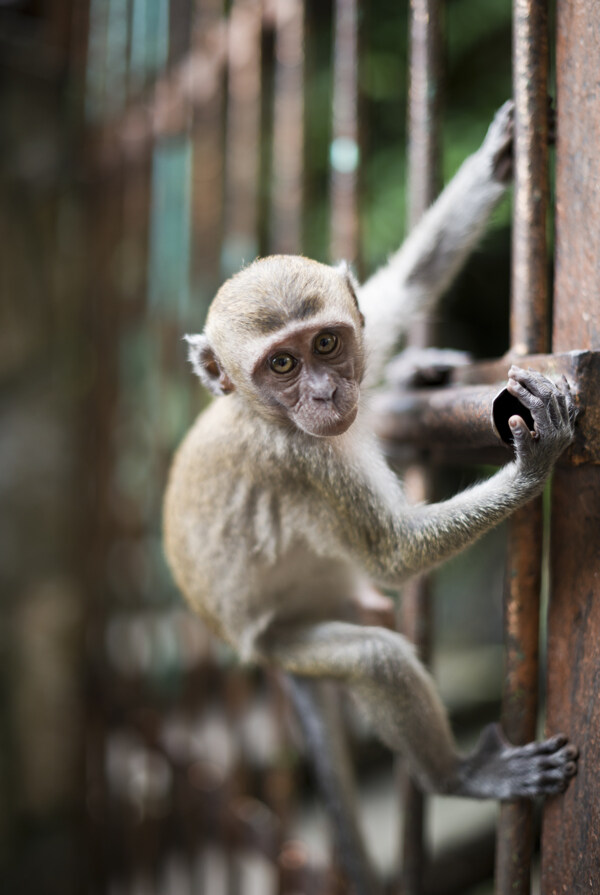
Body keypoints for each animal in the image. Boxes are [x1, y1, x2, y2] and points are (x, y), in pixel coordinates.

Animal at [163, 103, 576, 832]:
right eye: (282, 364)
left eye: (326, 343)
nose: (327, 395)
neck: (262, 413)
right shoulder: (301, 461)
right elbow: (393, 553)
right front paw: (534, 467)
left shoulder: (360, 329)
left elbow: (407, 284)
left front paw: (496, 157)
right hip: (285, 641)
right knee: (375, 657)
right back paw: (458, 776)